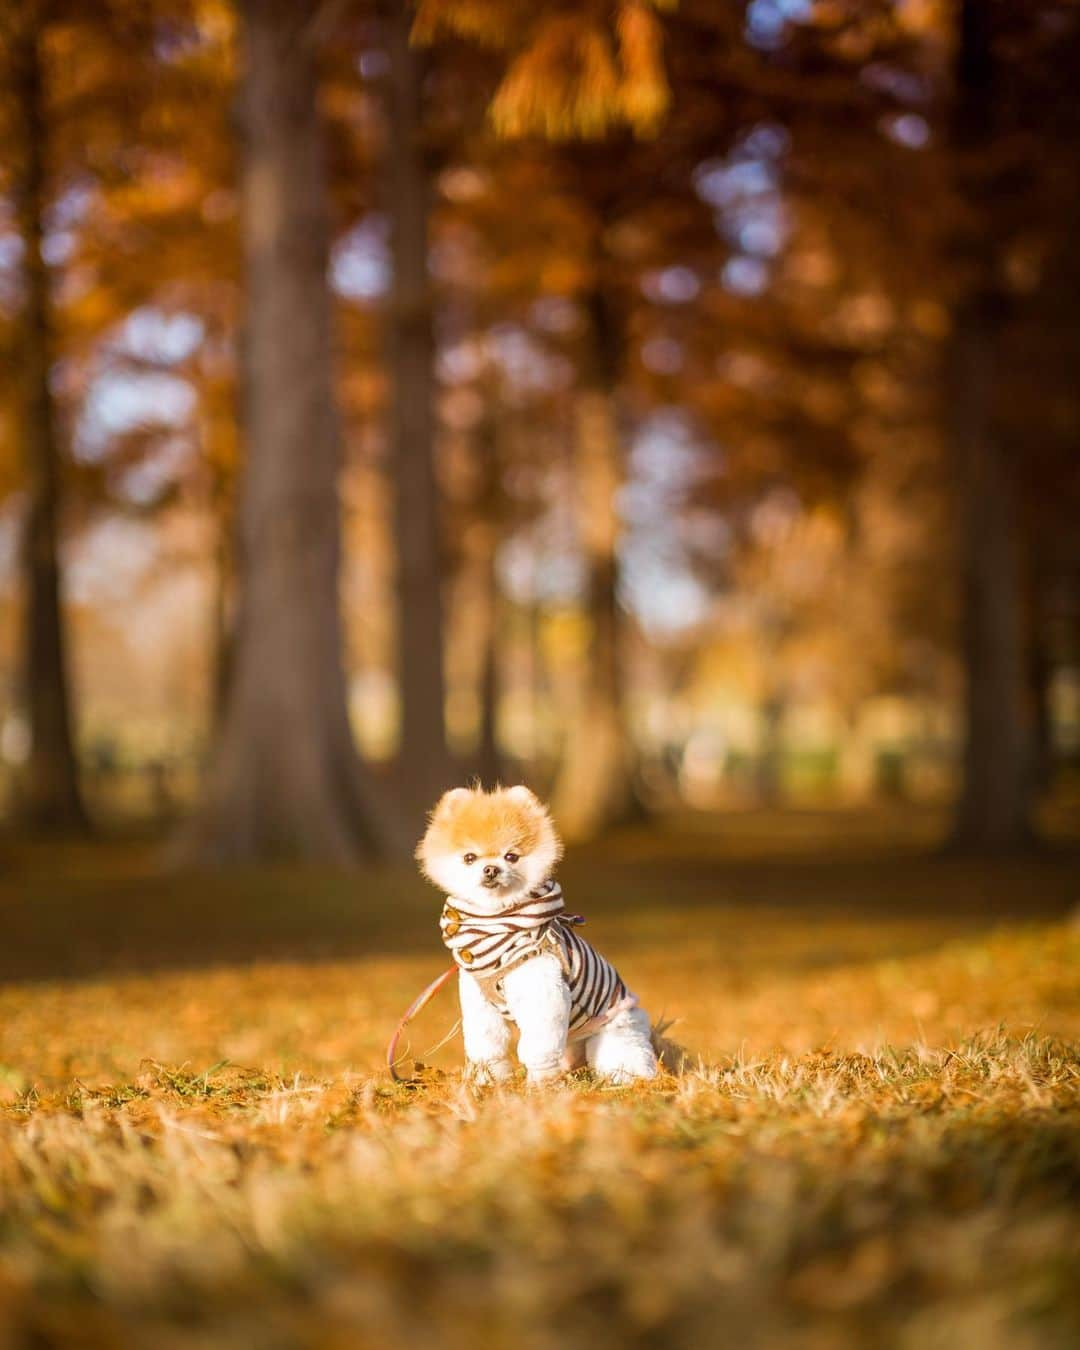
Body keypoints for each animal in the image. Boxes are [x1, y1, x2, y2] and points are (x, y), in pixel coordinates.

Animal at [415, 783, 658, 1085]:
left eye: (511, 856)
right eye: (469, 858)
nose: (491, 869)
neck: (495, 921)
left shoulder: (541, 988)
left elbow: (538, 1043)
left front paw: (540, 1083)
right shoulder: (478, 997)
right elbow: (486, 1042)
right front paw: (489, 1080)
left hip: (615, 1035)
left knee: (626, 1058)